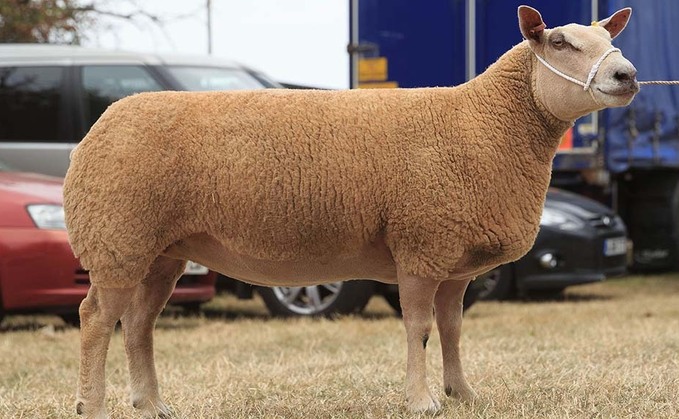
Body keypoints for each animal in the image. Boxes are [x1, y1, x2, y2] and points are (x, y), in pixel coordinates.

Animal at [62, 4, 636, 418]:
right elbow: (419, 328)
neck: (484, 121)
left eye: (610, 41)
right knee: (96, 319)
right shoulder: (421, 244)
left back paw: (152, 404)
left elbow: (451, 329)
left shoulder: (453, 260)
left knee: (139, 323)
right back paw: (92, 405)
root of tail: (100, 126)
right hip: (117, 237)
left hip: (160, 250)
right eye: (559, 43)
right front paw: (422, 401)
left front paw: (464, 394)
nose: (627, 74)